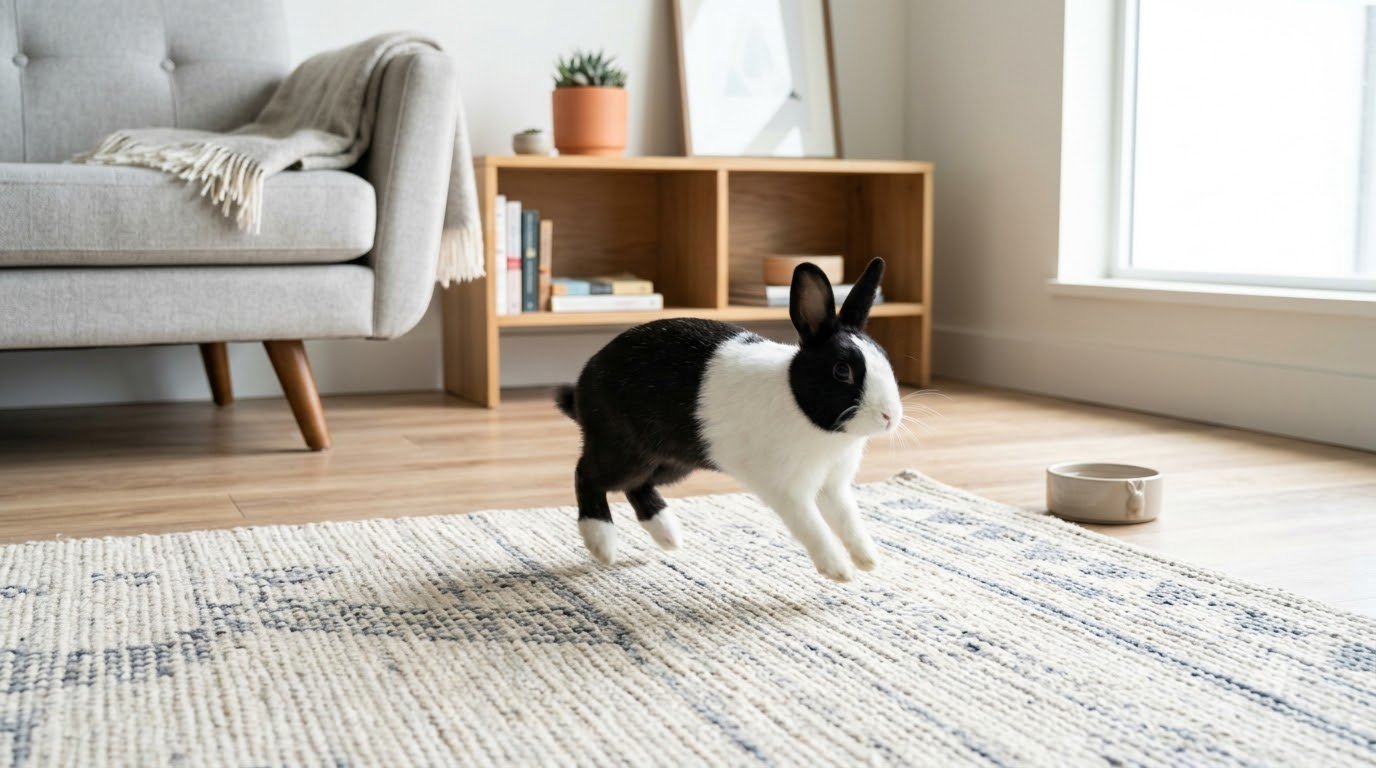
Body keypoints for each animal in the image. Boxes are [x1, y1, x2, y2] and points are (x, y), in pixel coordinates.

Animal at [554, 257, 902, 582]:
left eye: (885, 357)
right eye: (842, 371)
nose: (889, 416)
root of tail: (586, 380)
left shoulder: (834, 487)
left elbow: (848, 520)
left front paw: (868, 559)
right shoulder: (789, 491)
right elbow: (811, 526)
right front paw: (838, 570)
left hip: (672, 463)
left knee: (636, 486)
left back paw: (667, 533)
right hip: (624, 451)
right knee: (587, 474)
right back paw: (602, 542)